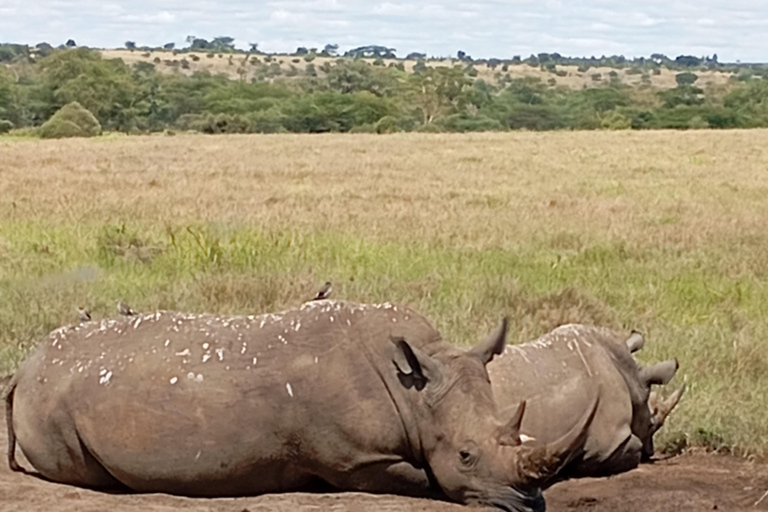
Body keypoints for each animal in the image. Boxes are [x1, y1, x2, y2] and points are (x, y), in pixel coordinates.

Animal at [3, 300, 592, 512]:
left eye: (519, 434)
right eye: (466, 456)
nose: (530, 503)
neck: (414, 390)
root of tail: (26, 366)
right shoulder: (354, 460)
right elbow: (424, 477)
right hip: (50, 402)